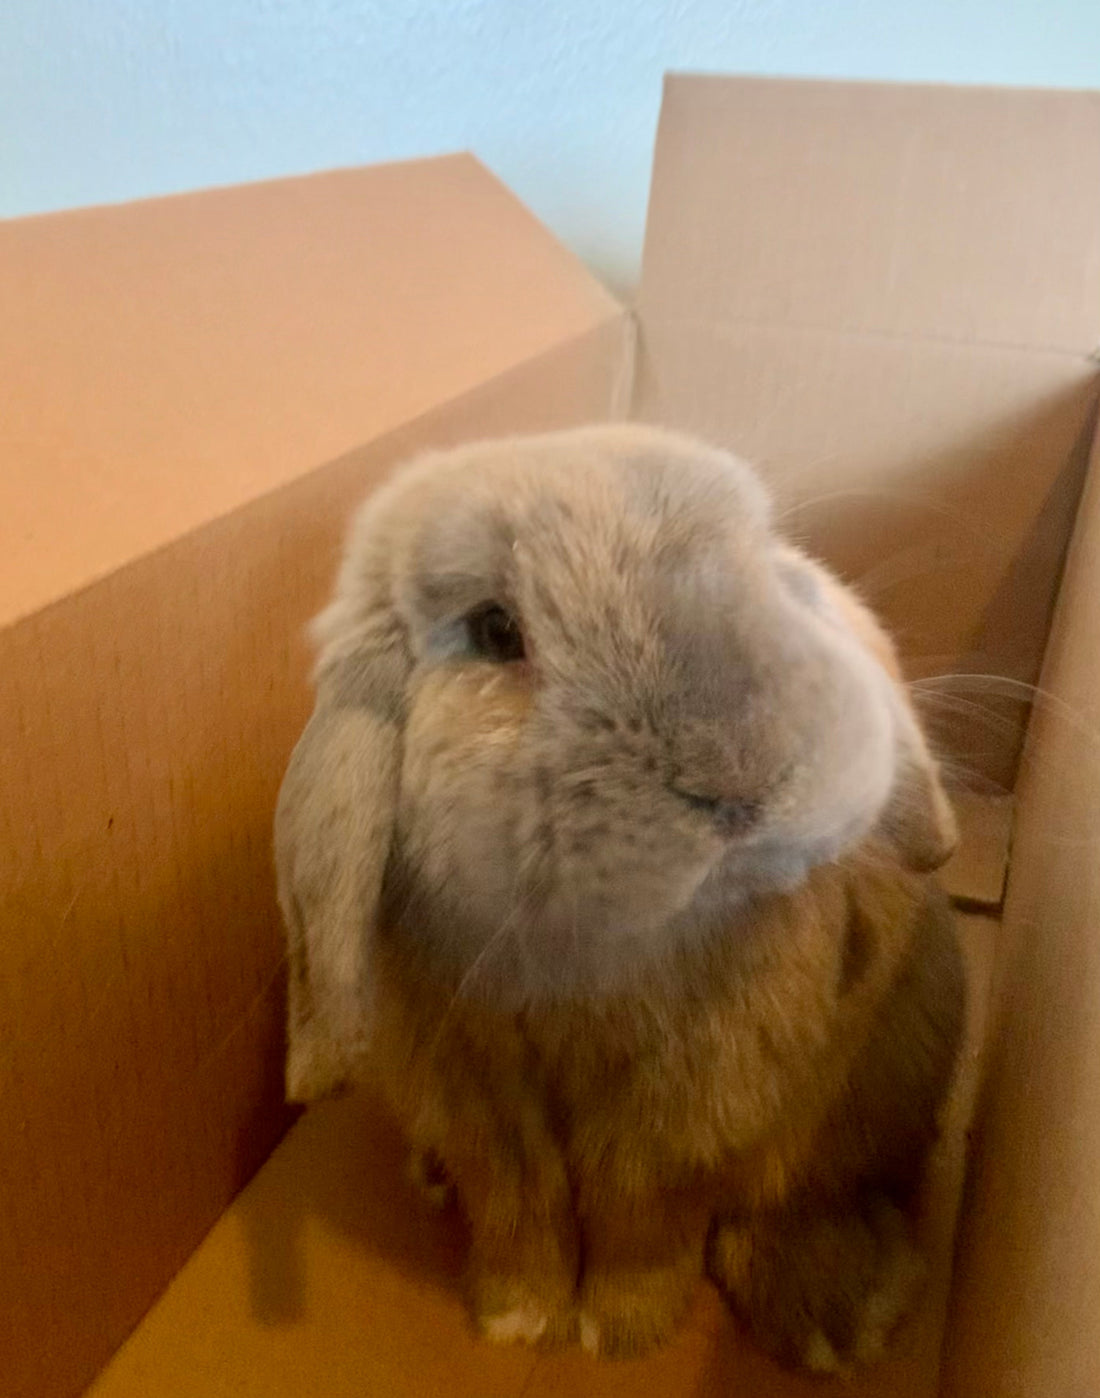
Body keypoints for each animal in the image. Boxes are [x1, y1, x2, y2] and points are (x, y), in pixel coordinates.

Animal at [274, 423, 966, 1373]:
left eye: (768, 575)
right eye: (495, 630)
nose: (738, 781)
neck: (592, 957)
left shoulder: (698, 1096)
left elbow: (644, 1209)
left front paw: (620, 1330)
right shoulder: (473, 1094)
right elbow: (519, 1200)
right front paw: (518, 1315)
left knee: (803, 1188)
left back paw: (837, 1317)